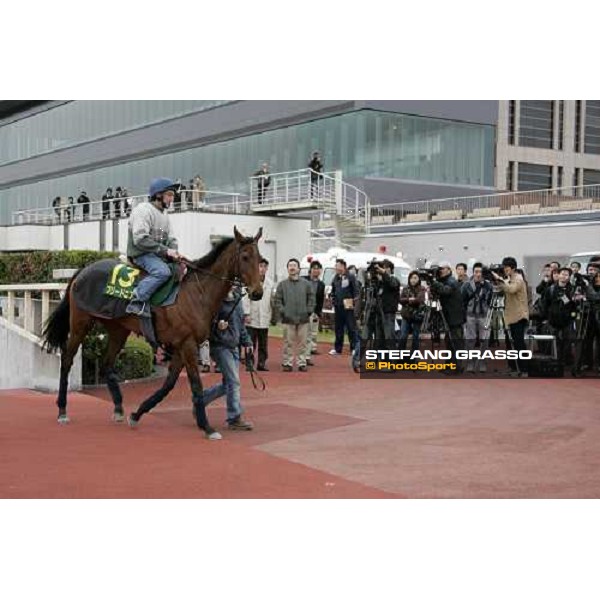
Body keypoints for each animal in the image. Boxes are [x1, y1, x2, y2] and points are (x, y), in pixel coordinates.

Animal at [43, 227, 264, 438]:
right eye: (245, 257)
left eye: (260, 258)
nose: (258, 292)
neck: (197, 293)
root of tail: (82, 270)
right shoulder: (188, 344)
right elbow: (196, 384)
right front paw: (207, 427)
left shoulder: (180, 346)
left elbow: (168, 384)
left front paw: (137, 414)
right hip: (80, 323)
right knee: (67, 359)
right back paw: (62, 410)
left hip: (118, 329)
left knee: (107, 363)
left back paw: (119, 408)